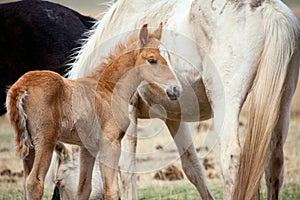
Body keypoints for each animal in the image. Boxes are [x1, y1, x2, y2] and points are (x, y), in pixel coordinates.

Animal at [5, 23, 180, 200]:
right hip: (45, 140)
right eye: (152, 60)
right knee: (34, 182)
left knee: (26, 181)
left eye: (169, 57)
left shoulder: (88, 147)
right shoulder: (111, 143)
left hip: (29, 147)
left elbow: (84, 189)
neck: (108, 89)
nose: (176, 89)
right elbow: (112, 190)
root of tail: (21, 87)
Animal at [67, 0, 298, 199]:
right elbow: (193, 168)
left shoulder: (127, 112)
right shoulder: (173, 117)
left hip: (226, 103)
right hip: (282, 104)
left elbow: (126, 170)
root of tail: (268, 9)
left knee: (231, 158)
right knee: (274, 162)